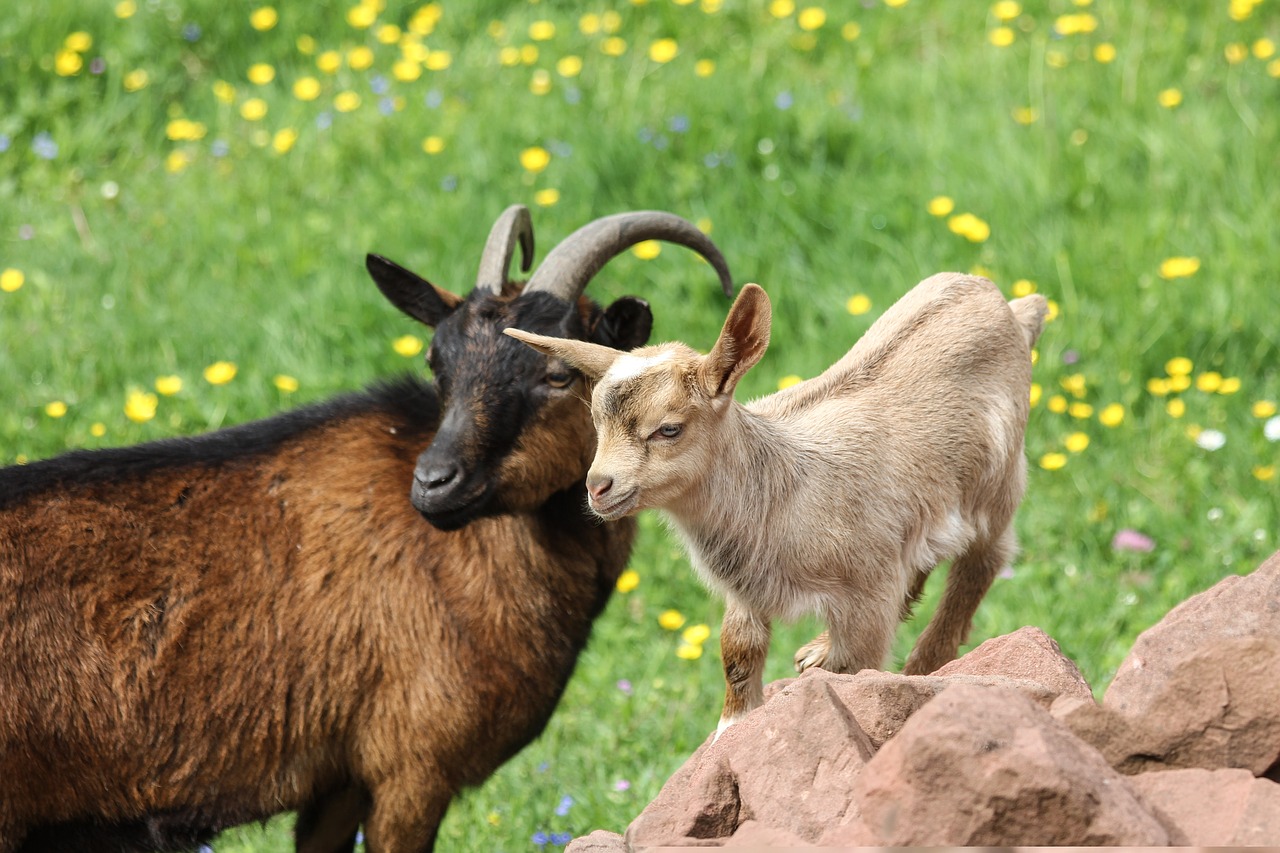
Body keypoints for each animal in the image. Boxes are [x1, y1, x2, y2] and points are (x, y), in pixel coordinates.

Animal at [508, 274, 1047, 733]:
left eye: (669, 428)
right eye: (596, 422)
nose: (599, 487)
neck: (778, 487)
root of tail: (1005, 303)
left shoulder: (867, 593)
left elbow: (859, 665)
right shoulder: (748, 591)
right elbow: (738, 651)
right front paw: (731, 729)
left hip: (998, 487)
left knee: (982, 563)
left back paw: (922, 666)